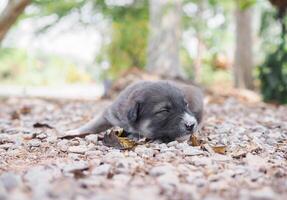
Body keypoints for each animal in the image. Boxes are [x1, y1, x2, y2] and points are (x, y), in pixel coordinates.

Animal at [64, 80, 205, 141]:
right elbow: (94, 124)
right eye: (164, 111)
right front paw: (73, 131)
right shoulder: (110, 113)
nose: (191, 125)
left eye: (186, 105)